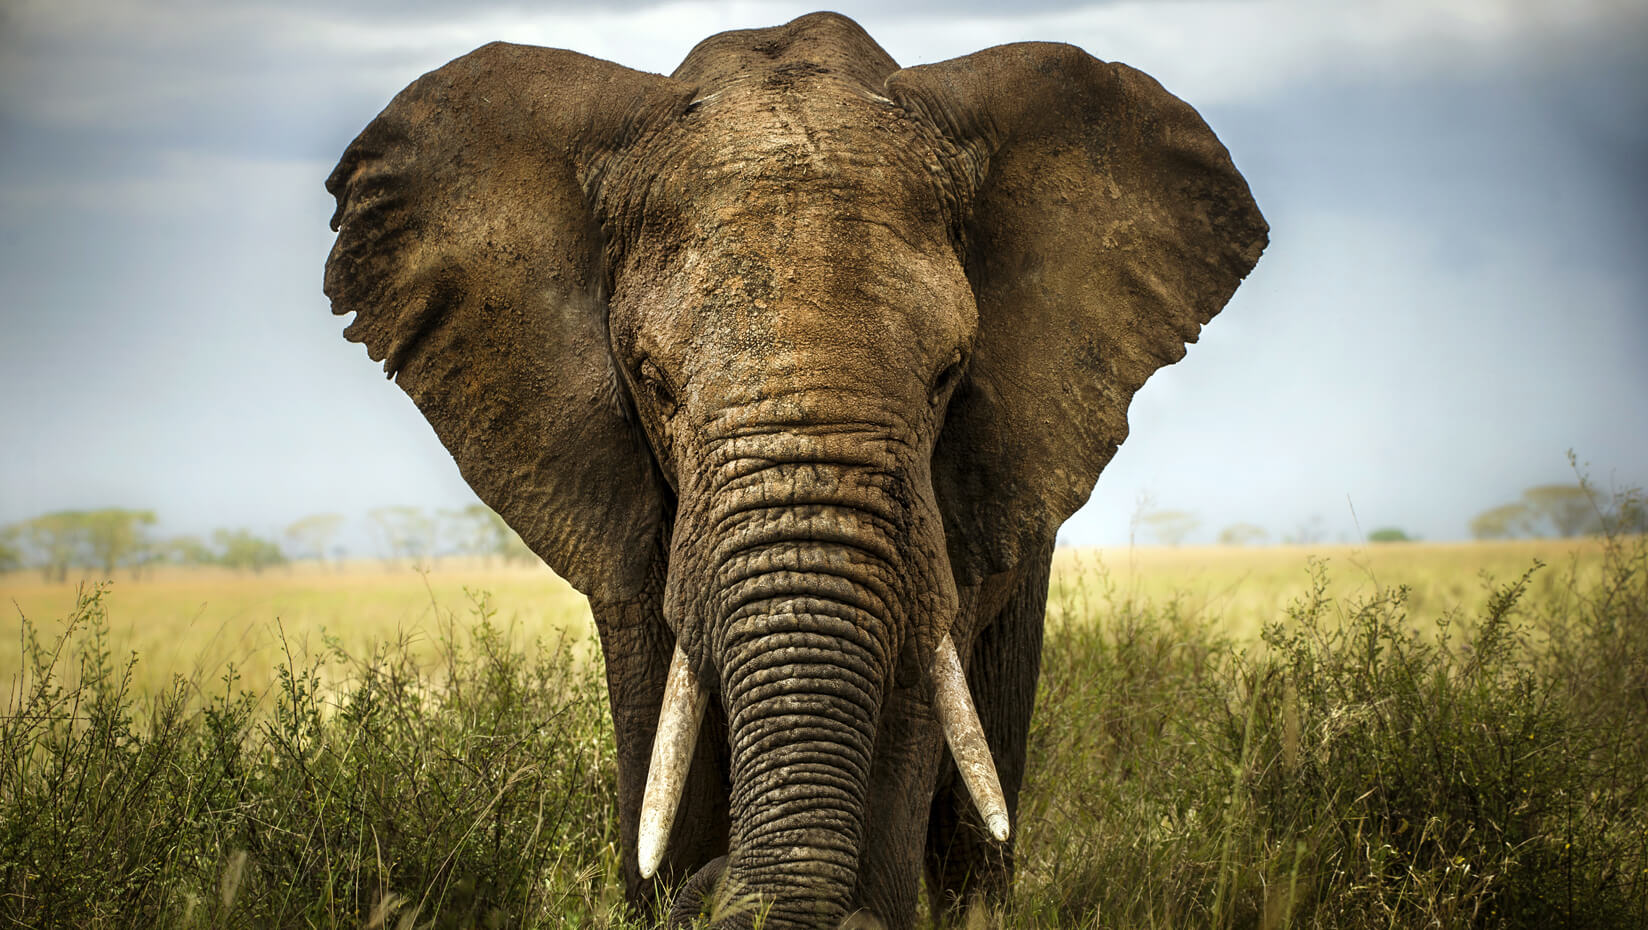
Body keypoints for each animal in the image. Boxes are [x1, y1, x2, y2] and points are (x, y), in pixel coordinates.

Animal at [324, 11, 1265, 928]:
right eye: (652, 381)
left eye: (949, 375)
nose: (719, 884)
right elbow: (657, 714)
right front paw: (671, 879)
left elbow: (912, 706)